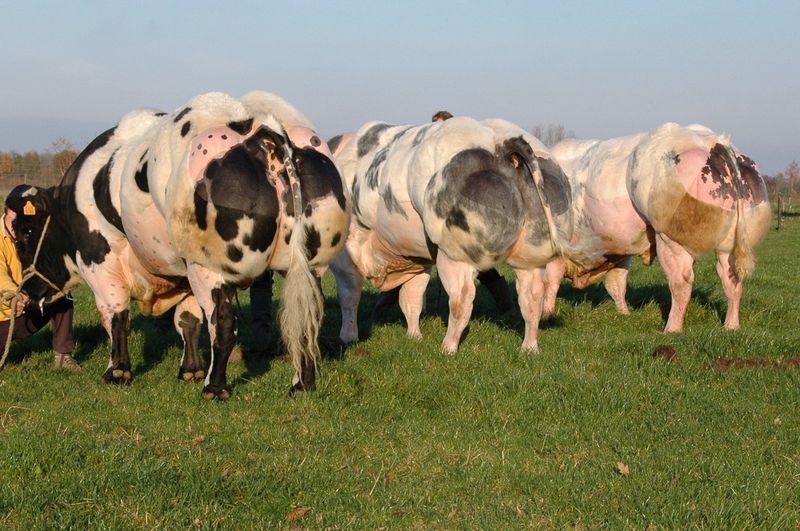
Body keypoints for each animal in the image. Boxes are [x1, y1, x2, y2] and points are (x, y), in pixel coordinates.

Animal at [9, 91, 346, 400]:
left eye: (26, 233)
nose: (26, 293)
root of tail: (262, 127)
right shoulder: (184, 272)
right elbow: (187, 320)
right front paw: (189, 370)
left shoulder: (100, 258)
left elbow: (115, 315)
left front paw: (117, 371)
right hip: (309, 266)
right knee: (307, 319)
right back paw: (301, 385)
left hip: (209, 267)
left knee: (224, 323)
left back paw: (215, 388)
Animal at [324, 118, 588, 356]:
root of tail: (503, 143)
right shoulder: (416, 260)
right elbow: (412, 298)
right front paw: (414, 336)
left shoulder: (348, 253)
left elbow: (349, 294)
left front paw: (348, 337)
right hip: (530, 257)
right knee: (532, 297)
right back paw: (529, 348)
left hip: (454, 253)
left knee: (462, 297)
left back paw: (448, 347)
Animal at [544, 122, 768, 332]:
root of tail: (714, 141)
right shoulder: (620, 249)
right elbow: (616, 284)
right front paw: (624, 314)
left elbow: (550, 283)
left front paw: (546, 317)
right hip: (728, 244)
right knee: (731, 279)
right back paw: (731, 326)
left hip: (669, 238)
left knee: (681, 281)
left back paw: (672, 329)